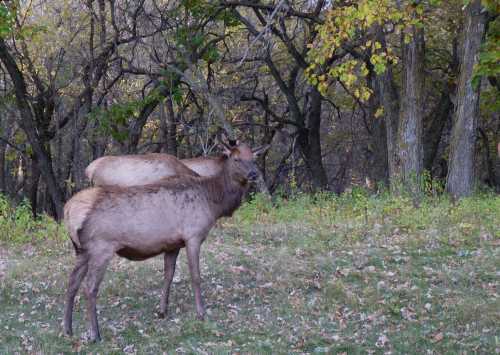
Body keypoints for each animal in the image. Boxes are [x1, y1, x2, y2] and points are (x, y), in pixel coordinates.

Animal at [63, 143, 270, 344]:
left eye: (254, 158)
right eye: (236, 159)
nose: (254, 174)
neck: (213, 202)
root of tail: (69, 211)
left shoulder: (173, 244)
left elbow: (168, 275)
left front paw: (162, 310)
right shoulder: (193, 235)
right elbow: (196, 276)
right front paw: (201, 313)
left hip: (81, 250)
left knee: (72, 282)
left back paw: (68, 329)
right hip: (101, 247)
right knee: (90, 287)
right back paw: (95, 334)